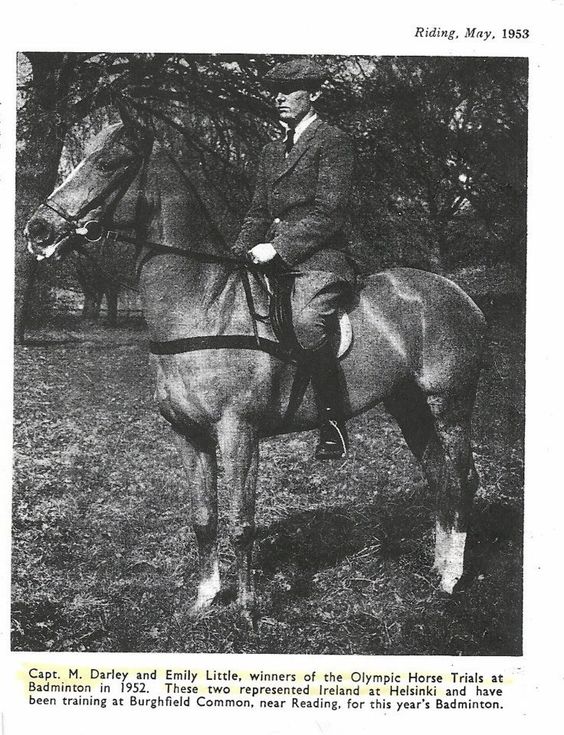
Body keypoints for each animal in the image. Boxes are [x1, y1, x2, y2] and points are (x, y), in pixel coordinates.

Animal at [24, 116, 486, 620]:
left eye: (109, 162)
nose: (37, 228)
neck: (205, 306)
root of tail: (456, 292)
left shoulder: (238, 433)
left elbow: (242, 522)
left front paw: (247, 607)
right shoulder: (188, 435)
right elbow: (203, 518)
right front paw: (205, 598)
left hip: (450, 405)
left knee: (462, 479)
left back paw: (452, 577)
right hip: (408, 405)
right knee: (438, 478)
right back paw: (439, 569)